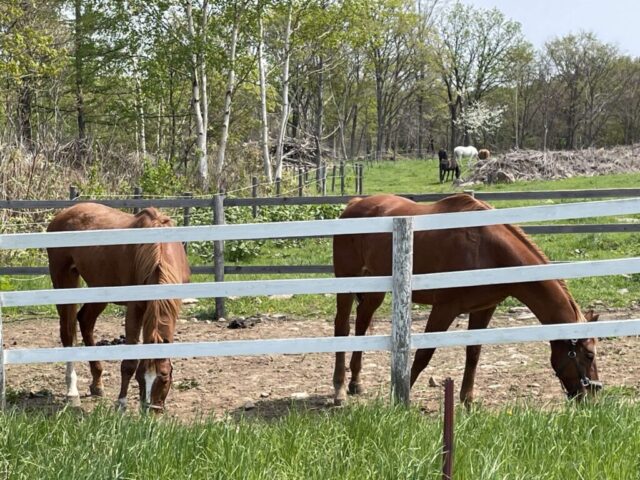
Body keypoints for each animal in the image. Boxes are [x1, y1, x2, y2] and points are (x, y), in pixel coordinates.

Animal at [47, 203, 190, 412]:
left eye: (164, 379)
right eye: (141, 378)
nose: (151, 413)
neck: (158, 252)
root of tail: (64, 214)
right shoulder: (135, 308)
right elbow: (129, 363)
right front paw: (121, 403)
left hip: (100, 288)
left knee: (86, 321)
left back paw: (97, 383)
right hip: (64, 282)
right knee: (67, 332)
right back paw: (72, 392)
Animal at [332, 193, 604, 406]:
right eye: (589, 355)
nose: (591, 396)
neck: (488, 250)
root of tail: (355, 204)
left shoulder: (484, 308)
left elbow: (474, 353)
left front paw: (467, 401)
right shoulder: (444, 308)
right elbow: (424, 354)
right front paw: (400, 397)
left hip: (374, 288)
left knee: (362, 322)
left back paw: (355, 382)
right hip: (346, 283)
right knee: (342, 327)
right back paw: (339, 390)